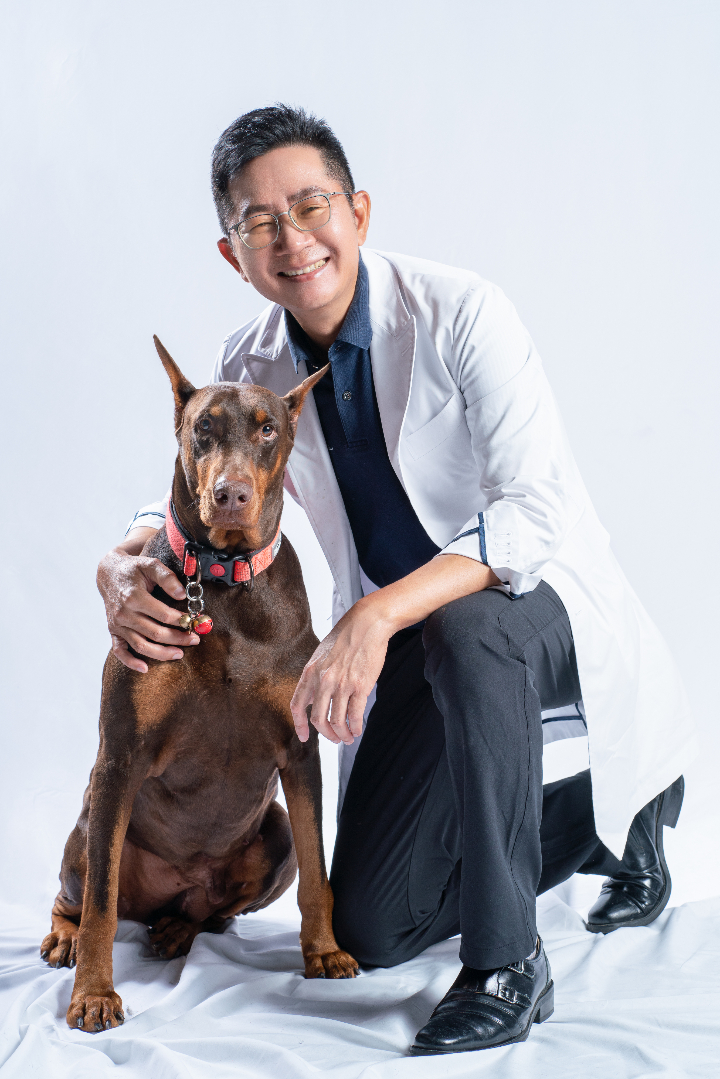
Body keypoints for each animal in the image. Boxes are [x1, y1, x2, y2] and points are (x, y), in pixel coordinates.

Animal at [41, 337, 358, 1032]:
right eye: (203, 428)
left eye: (268, 429)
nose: (230, 495)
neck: (223, 582)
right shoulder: (120, 753)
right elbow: (102, 902)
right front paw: (93, 994)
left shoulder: (300, 754)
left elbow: (318, 866)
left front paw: (324, 952)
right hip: (89, 820)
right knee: (86, 890)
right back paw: (66, 935)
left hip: (268, 836)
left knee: (210, 909)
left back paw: (177, 931)